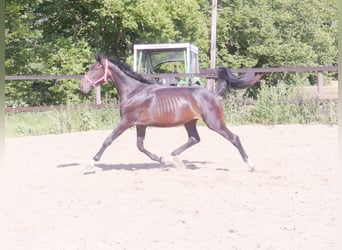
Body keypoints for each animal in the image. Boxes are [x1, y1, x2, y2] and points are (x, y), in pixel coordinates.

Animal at [80, 54, 254, 172]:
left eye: (96, 68)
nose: (82, 86)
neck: (134, 92)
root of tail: (212, 93)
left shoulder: (126, 121)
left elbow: (108, 140)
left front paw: (91, 163)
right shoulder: (140, 125)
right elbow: (140, 146)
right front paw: (161, 159)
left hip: (214, 122)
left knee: (234, 138)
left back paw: (250, 164)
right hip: (190, 122)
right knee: (194, 138)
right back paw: (171, 157)